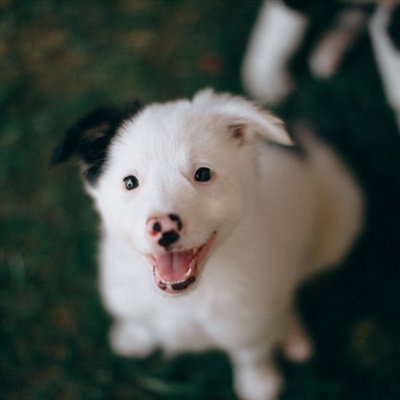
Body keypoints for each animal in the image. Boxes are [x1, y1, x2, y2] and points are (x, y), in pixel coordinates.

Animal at [51, 90, 364, 400]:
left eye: (203, 174)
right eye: (130, 182)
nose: (164, 226)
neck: (185, 299)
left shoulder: (247, 323)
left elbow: (252, 355)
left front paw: (259, 384)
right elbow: (139, 321)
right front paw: (133, 338)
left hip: (339, 229)